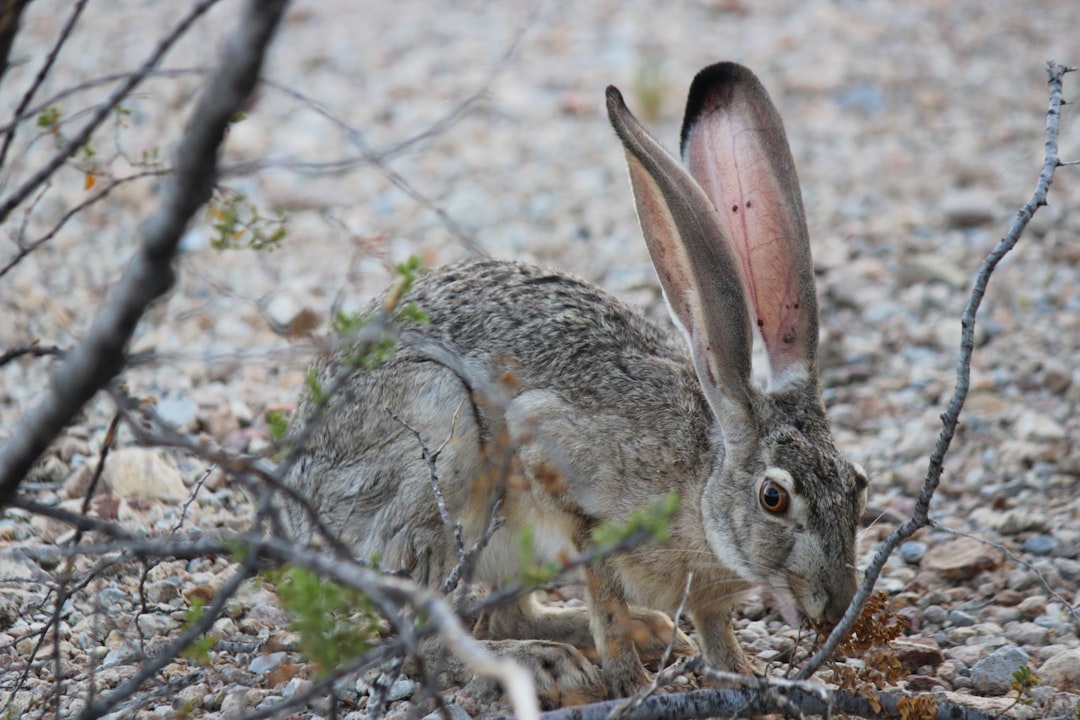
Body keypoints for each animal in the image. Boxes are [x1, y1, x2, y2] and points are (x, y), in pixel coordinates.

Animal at [285, 61, 868, 708]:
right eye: (773, 497)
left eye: (859, 486)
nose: (837, 607)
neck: (701, 483)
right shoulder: (561, 474)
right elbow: (603, 588)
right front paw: (630, 682)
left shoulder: (708, 594)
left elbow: (714, 626)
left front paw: (747, 675)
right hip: (441, 447)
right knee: (427, 634)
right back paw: (546, 665)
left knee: (504, 613)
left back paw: (635, 634)